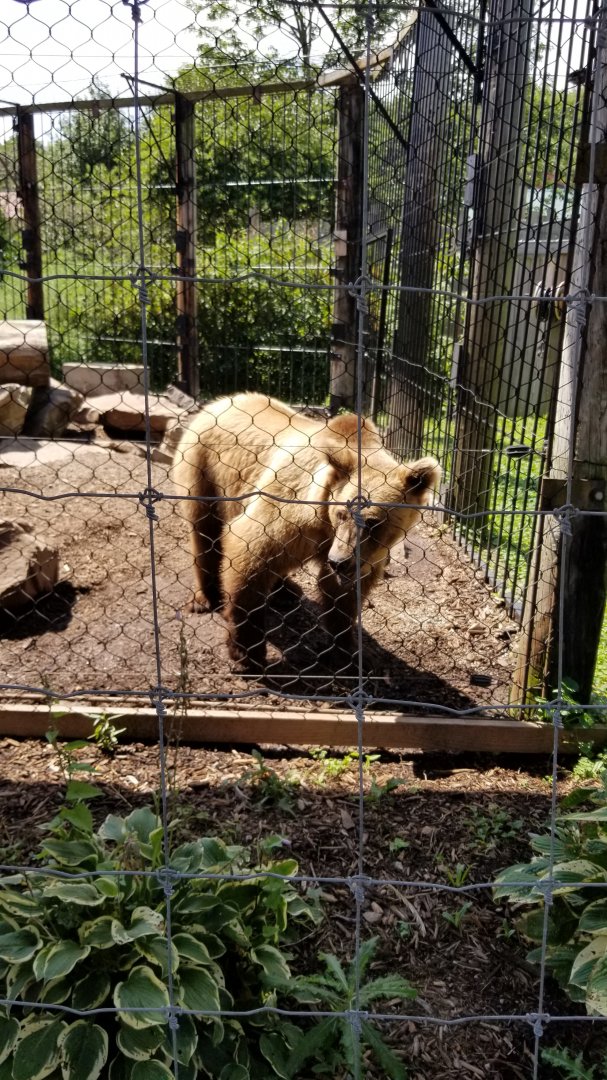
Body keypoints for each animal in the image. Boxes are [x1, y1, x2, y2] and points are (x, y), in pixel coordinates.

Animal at [172, 392, 440, 673]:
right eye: (342, 513)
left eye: (372, 522)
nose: (338, 561)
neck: (324, 523)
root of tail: (220, 401)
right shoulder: (289, 510)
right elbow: (249, 552)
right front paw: (247, 654)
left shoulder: (360, 553)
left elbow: (343, 597)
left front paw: (350, 652)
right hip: (205, 471)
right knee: (205, 532)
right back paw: (206, 597)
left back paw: (285, 591)